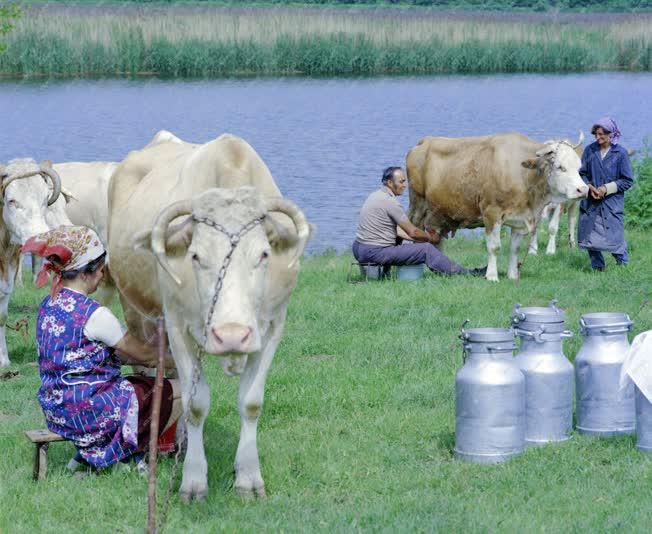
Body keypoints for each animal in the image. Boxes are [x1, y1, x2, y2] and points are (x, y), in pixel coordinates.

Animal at [107, 134, 310, 502]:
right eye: (195, 255)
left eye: (264, 254)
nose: (231, 336)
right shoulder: (177, 327)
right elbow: (197, 403)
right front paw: (193, 481)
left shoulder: (272, 327)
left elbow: (251, 402)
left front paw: (248, 477)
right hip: (135, 311)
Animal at [408, 132, 584, 282]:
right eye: (560, 167)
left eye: (578, 167)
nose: (583, 189)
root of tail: (424, 141)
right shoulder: (491, 213)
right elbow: (494, 247)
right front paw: (492, 276)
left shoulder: (520, 219)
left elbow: (514, 248)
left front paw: (512, 275)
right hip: (417, 205)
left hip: (439, 212)